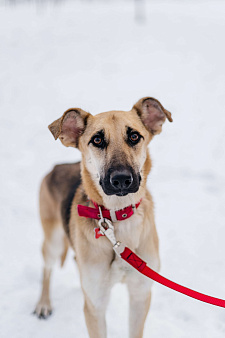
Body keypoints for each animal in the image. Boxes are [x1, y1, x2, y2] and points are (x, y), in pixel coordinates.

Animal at [33, 97, 172, 338]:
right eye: (97, 140)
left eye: (134, 136)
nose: (122, 179)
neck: (119, 219)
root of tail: (55, 168)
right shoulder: (95, 305)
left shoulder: (140, 295)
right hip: (53, 242)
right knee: (47, 269)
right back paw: (43, 303)